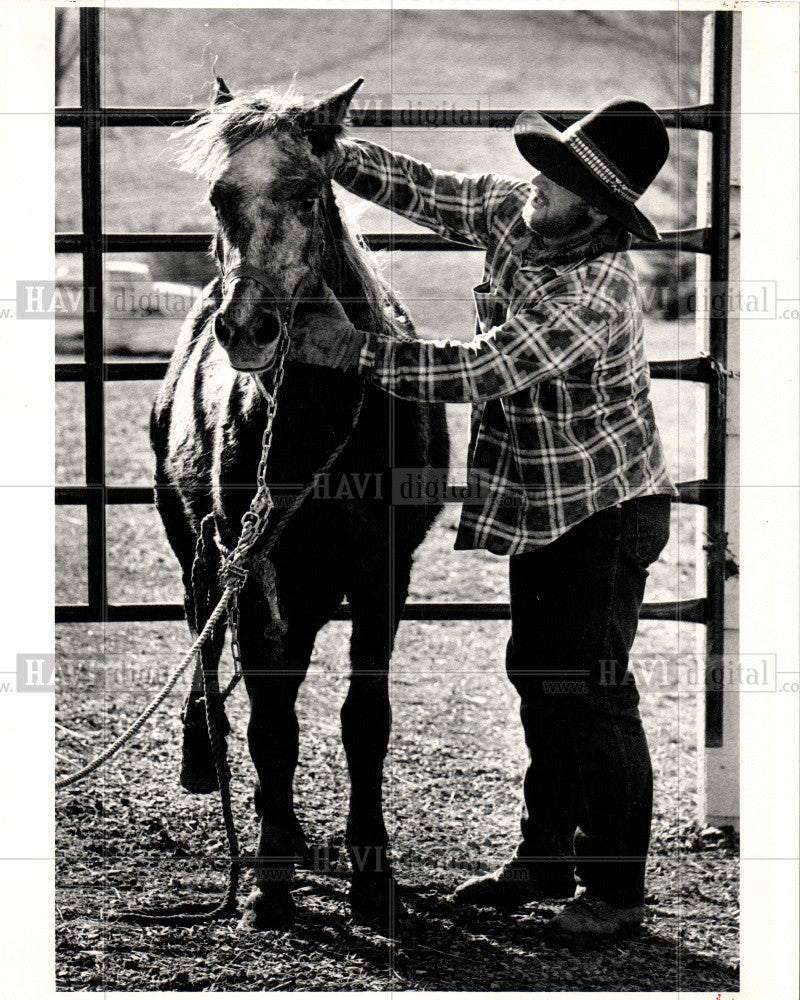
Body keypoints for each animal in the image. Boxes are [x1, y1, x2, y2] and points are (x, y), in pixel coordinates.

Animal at [150, 76, 450, 928]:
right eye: (219, 196)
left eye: (310, 194)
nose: (247, 329)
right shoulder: (254, 568)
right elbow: (271, 717)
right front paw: (271, 875)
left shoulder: (384, 571)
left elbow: (363, 717)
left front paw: (372, 871)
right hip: (199, 551)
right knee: (211, 646)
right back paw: (209, 763)